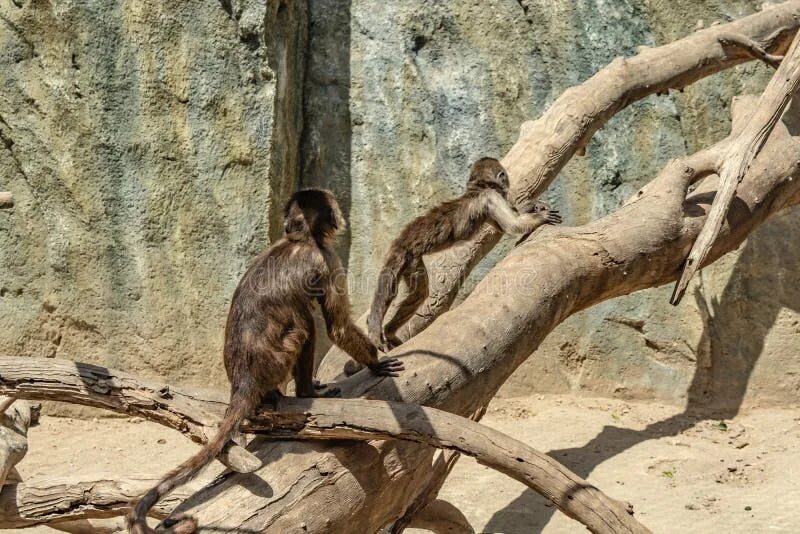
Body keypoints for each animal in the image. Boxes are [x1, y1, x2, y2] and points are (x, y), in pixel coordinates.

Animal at [126, 189, 404, 534]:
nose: (341, 218)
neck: (298, 240)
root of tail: (243, 381)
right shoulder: (324, 258)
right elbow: (337, 328)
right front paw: (376, 363)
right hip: (277, 360)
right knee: (305, 323)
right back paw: (305, 393)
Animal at [366, 157, 562, 353]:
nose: (507, 182)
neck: (477, 189)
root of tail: (404, 238)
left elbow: (503, 226)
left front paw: (531, 206)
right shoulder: (491, 197)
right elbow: (514, 225)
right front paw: (541, 216)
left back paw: (389, 331)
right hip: (410, 256)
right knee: (416, 291)